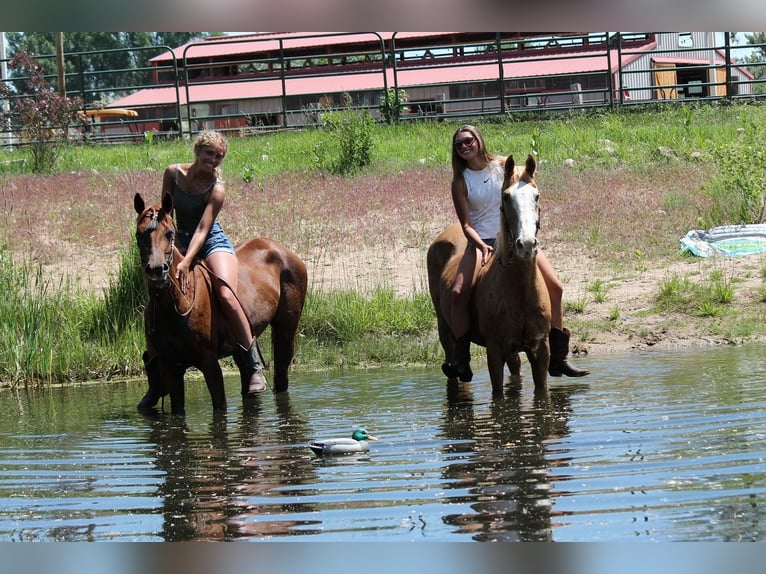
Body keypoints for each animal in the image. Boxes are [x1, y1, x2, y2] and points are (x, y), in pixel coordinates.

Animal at [134, 192, 308, 415]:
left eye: (169, 234)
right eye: (139, 235)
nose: (157, 270)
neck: (177, 305)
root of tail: (282, 250)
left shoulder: (209, 364)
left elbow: (219, 408)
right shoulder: (170, 368)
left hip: (285, 332)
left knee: (281, 378)